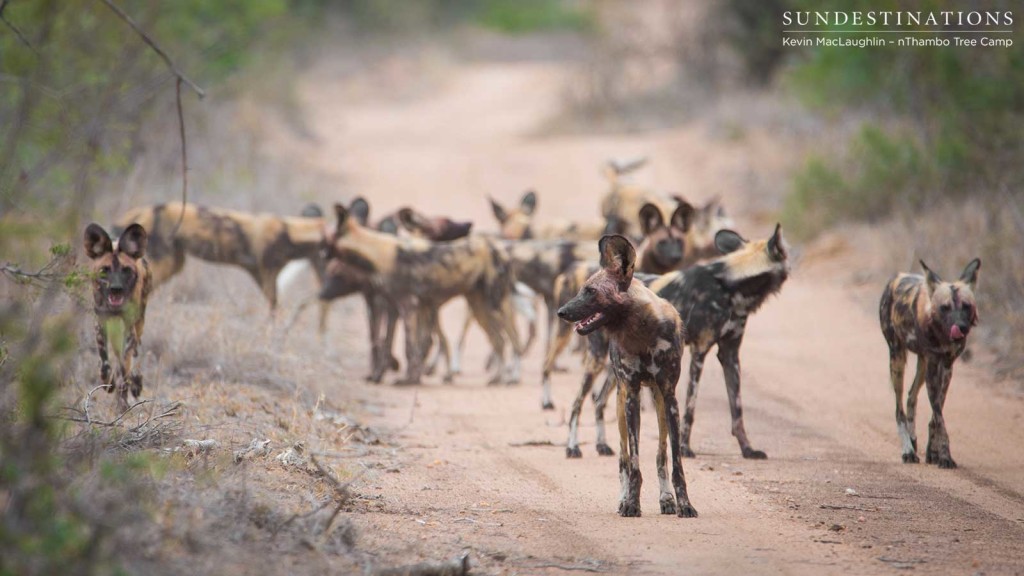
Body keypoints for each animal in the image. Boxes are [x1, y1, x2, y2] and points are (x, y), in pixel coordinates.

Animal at [83, 222, 152, 409]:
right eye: (104, 270)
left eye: (126, 270)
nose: (116, 288)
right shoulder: (100, 325)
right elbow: (105, 365)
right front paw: (109, 383)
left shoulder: (129, 330)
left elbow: (123, 365)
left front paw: (123, 392)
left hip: (138, 324)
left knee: (130, 357)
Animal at [115, 200, 323, 311]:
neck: (290, 232)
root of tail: (144, 210)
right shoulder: (267, 274)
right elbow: (275, 311)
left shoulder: (263, 277)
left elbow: (274, 308)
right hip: (165, 263)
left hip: (174, 263)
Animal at [319, 201, 520, 385]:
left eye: (327, 239)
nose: (321, 252)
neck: (379, 255)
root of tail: (501, 248)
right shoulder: (393, 307)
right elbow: (387, 343)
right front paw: (379, 376)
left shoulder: (408, 306)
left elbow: (410, 346)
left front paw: (409, 380)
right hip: (479, 308)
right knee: (499, 340)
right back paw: (496, 378)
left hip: (494, 305)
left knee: (509, 339)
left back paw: (506, 378)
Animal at [557, 233, 700, 516]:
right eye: (582, 289)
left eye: (590, 291)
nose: (562, 312)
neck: (642, 332)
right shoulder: (631, 395)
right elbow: (633, 463)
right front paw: (631, 503)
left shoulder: (669, 397)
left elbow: (675, 462)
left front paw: (684, 504)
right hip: (617, 396)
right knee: (620, 455)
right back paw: (620, 495)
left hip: (656, 401)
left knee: (660, 455)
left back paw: (666, 499)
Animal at [876, 255, 978, 467]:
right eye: (945, 307)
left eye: (966, 306)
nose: (961, 327)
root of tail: (896, 277)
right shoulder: (933, 365)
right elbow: (939, 417)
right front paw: (945, 456)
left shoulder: (946, 366)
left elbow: (937, 415)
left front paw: (935, 452)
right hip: (897, 359)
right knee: (899, 409)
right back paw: (908, 450)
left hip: (922, 365)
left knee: (911, 396)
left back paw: (913, 441)